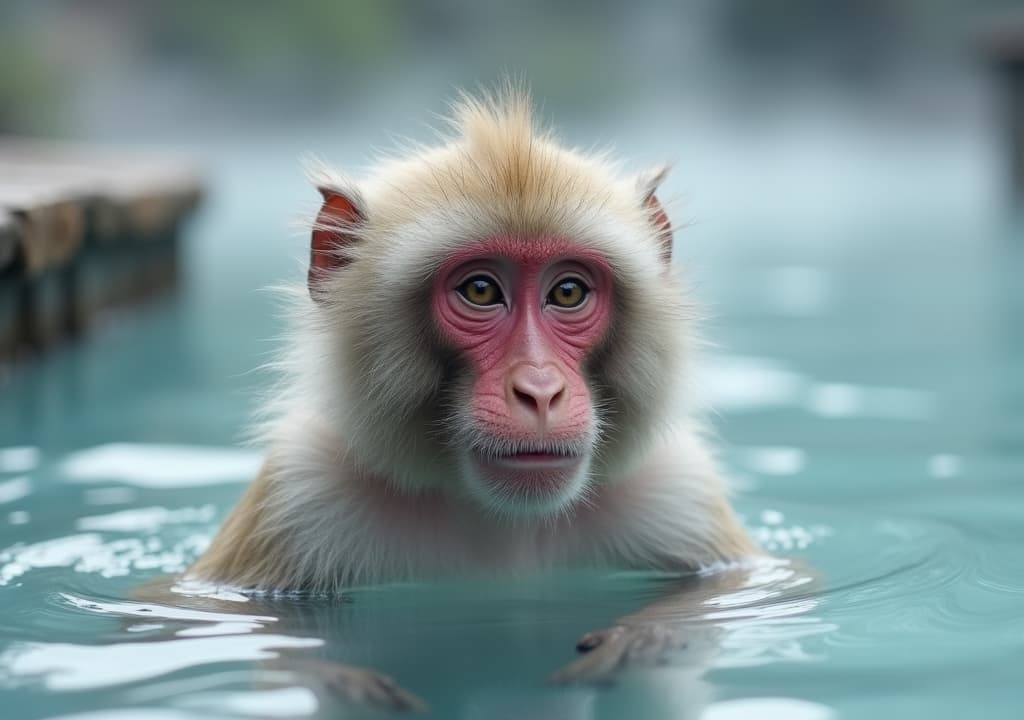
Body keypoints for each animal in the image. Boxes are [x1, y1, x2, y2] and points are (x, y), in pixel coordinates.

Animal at [176, 84, 790, 708]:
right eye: (480, 291)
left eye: (568, 292)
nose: (540, 391)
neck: (501, 521)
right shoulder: (299, 491)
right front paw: (341, 677)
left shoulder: (676, 490)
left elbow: (755, 586)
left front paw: (642, 639)